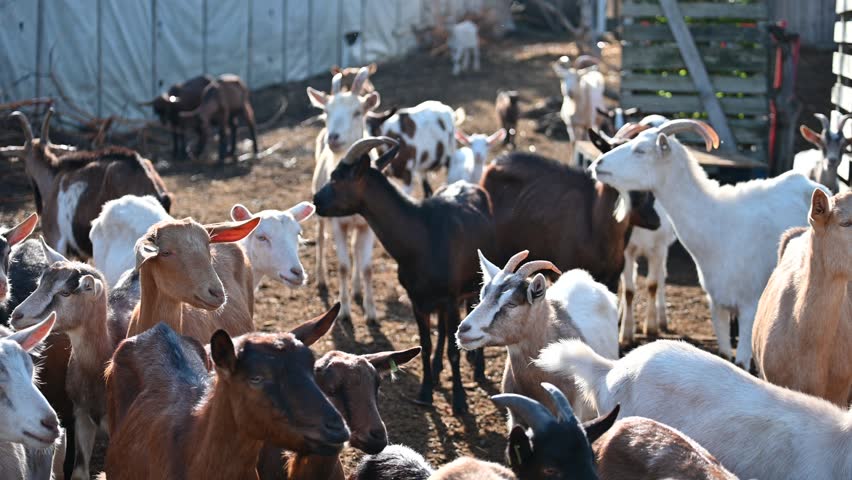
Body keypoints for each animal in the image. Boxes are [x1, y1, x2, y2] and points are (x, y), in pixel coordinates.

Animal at [307, 66, 381, 322]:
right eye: (326, 112)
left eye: (358, 112)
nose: (333, 137)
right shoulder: (338, 223)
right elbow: (342, 266)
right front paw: (345, 312)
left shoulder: (367, 225)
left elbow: (367, 267)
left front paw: (371, 312)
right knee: (320, 237)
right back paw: (321, 279)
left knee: (355, 250)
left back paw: (357, 289)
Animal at [313, 137, 495, 415]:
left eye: (337, 178)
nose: (315, 200)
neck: (421, 237)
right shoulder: (416, 299)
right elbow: (426, 343)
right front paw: (426, 391)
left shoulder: (450, 298)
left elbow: (454, 349)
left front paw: (459, 400)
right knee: (443, 328)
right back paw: (438, 368)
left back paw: (478, 367)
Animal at [589, 119, 824, 368]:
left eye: (640, 150)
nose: (598, 164)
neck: (718, 222)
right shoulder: (716, 304)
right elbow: (724, 355)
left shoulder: (749, 305)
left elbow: (741, 364)